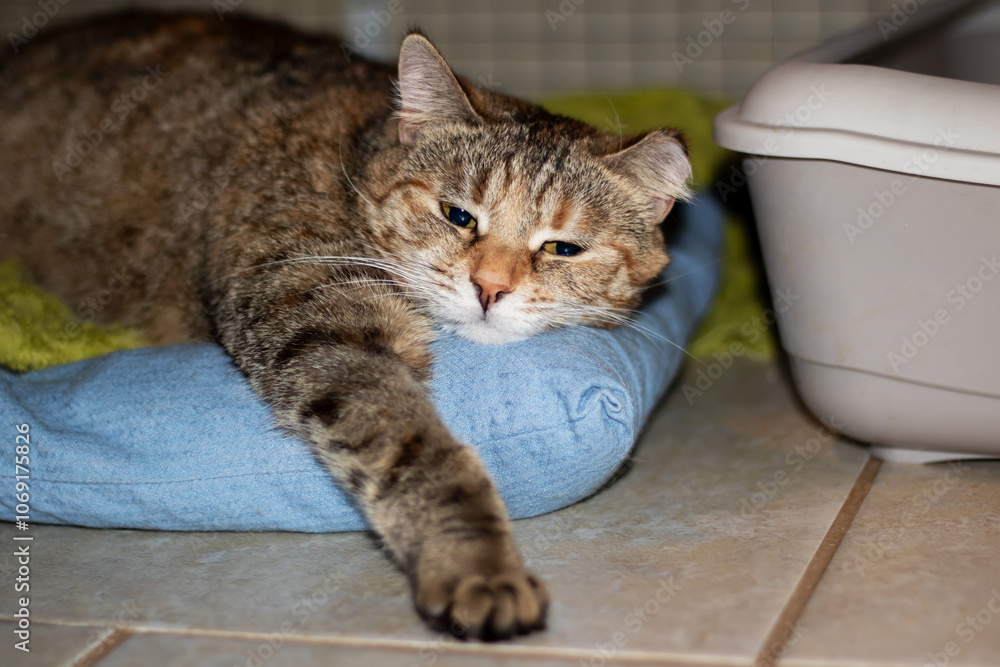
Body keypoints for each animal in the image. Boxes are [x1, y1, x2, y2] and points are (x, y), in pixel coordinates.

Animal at [0, 11, 688, 640]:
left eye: (563, 249)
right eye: (458, 215)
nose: (491, 287)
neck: (354, 165)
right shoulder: (323, 324)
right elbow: (418, 452)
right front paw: (475, 565)